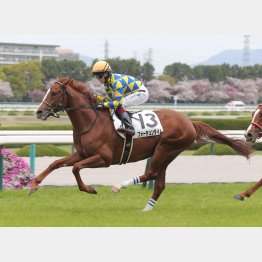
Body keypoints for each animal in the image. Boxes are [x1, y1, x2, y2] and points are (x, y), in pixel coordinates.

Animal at [31, 77, 254, 211]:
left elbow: (75, 168)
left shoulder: (104, 159)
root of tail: (189, 121)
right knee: (159, 182)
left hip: (166, 148)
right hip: (166, 153)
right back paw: (147, 208)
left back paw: (119, 186)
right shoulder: (83, 154)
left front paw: (90, 188)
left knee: (151, 174)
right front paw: (33, 185)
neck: (91, 121)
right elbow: (56, 163)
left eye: (54, 93)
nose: (39, 112)